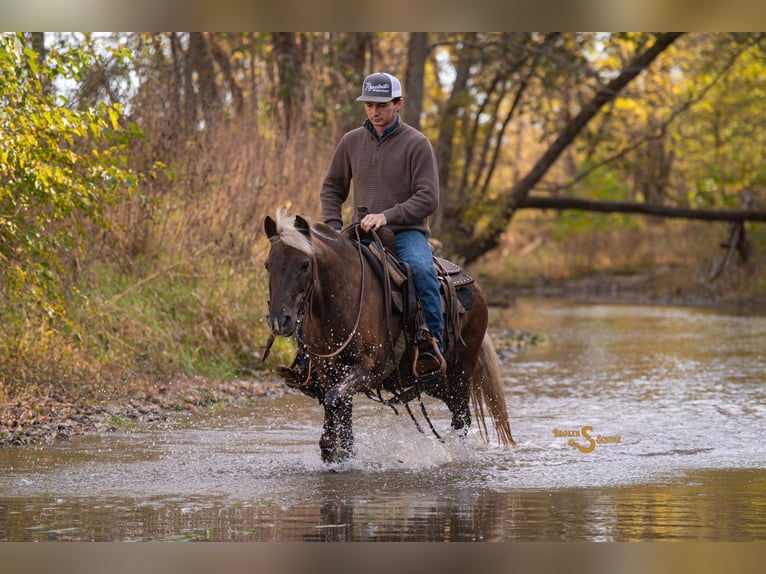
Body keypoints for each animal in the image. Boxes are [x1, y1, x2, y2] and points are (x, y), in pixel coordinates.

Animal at [263, 209, 516, 463]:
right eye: (268, 265)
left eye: (305, 264)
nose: (278, 321)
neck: (343, 300)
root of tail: (475, 287)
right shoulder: (329, 371)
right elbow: (339, 410)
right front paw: (339, 455)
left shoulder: (369, 368)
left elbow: (333, 400)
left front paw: (330, 448)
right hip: (436, 382)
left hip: (460, 373)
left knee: (461, 418)